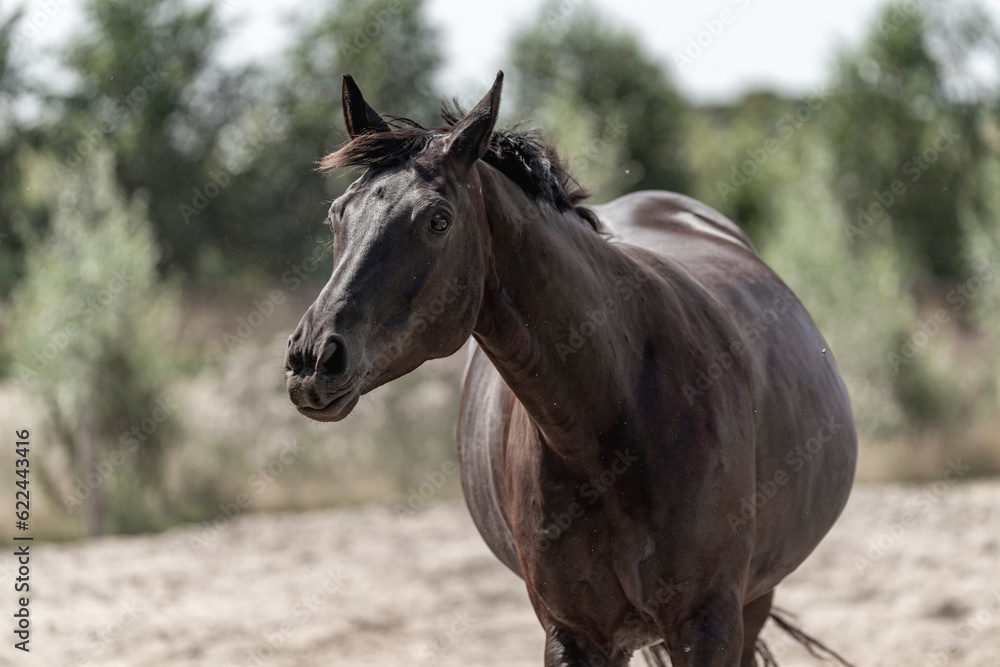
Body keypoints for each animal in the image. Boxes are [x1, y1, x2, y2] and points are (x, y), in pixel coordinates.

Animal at [285, 72, 858, 667]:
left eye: (438, 220)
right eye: (337, 214)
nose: (313, 359)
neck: (618, 416)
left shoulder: (709, 623)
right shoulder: (574, 633)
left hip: (753, 602)